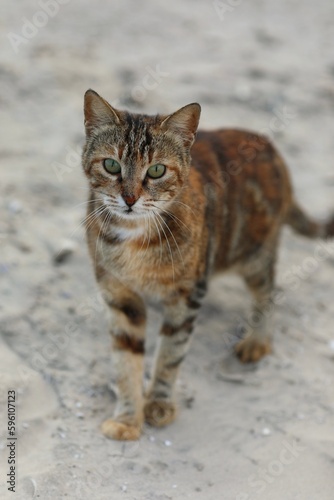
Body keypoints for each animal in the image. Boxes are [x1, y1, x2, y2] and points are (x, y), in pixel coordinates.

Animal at [81, 90, 334, 442]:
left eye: (156, 170)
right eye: (111, 165)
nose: (129, 199)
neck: (134, 239)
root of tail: (270, 147)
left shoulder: (188, 292)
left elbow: (171, 352)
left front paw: (158, 404)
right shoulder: (119, 294)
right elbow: (125, 360)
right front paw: (128, 417)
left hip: (255, 255)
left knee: (268, 291)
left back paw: (257, 339)